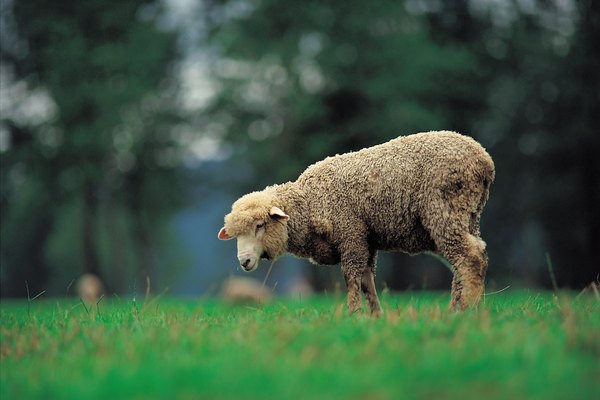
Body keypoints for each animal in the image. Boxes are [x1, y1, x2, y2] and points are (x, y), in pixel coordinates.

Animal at [218, 131, 494, 316]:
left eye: (260, 225)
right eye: (235, 235)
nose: (244, 261)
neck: (309, 202)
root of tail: (483, 160)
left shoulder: (350, 235)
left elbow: (351, 278)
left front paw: (353, 314)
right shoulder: (365, 240)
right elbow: (366, 281)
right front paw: (375, 316)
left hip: (444, 210)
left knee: (469, 256)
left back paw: (466, 309)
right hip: (469, 215)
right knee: (470, 258)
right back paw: (462, 308)